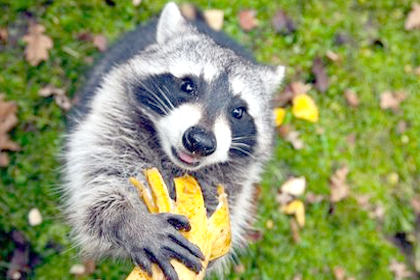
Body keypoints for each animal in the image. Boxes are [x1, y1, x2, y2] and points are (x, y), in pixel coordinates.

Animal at [62, 2, 284, 280]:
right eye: (188, 86)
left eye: (238, 111)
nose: (200, 141)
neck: (172, 161)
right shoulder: (111, 117)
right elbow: (95, 186)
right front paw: (126, 219)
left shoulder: (236, 179)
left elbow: (226, 207)